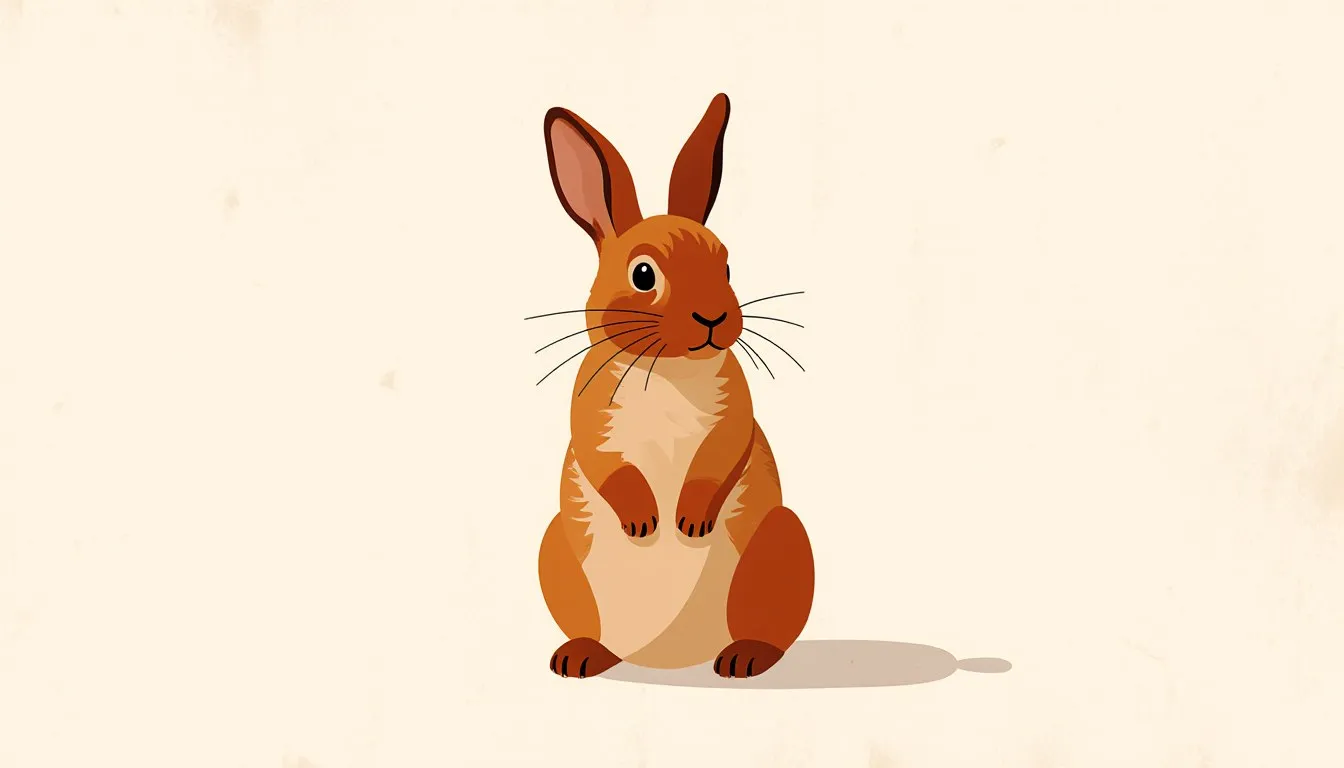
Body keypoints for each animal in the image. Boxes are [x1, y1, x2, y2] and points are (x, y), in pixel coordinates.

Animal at [536, 94, 814, 680]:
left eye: (727, 267)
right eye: (643, 275)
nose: (713, 318)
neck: (663, 369)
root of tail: (671, 659)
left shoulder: (734, 417)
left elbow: (720, 456)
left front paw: (689, 519)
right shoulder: (591, 419)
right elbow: (607, 466)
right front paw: (644, 521)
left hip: (781, 540)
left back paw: (745, 658)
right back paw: (580, 657)